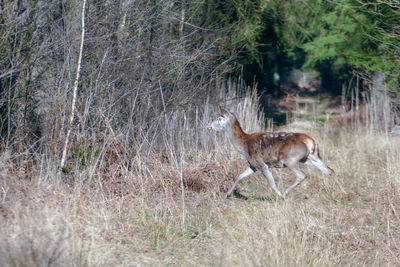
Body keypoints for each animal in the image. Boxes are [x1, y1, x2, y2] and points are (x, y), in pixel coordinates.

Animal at [206, 108, 346, 198]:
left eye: (219, 118)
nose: (208, 125)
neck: (244, 146)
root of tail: (311, 142)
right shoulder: (253, 165)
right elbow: (239, 176)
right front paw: (226, 194)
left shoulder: (261, 163)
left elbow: (272, 183)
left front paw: (279, 196)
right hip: (311, 158)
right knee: (330, 170)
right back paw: (344, 192)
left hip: (290, 160)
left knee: (302, 175)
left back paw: (285, 193)